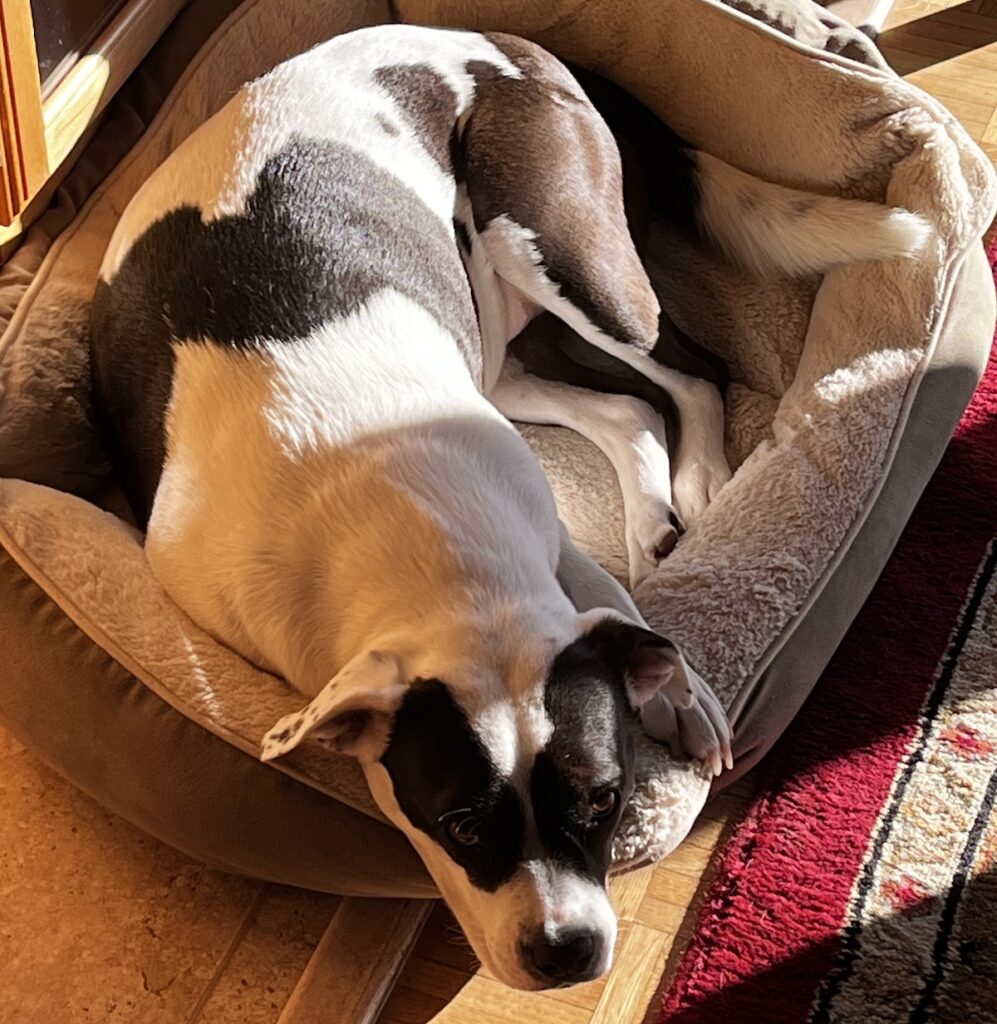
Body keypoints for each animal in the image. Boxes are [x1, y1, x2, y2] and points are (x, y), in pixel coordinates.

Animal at [89, 25, 933, 991]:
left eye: (604, 797)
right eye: (458, 821)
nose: (566, 951)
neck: (425, 538)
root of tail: (498, 38)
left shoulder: (545, 534)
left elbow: (612, 602)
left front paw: (682, 693)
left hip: (567, 255)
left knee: (692, 371)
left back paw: (696, 482)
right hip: (498, 340)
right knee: (630, 407)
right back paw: (657, 510)